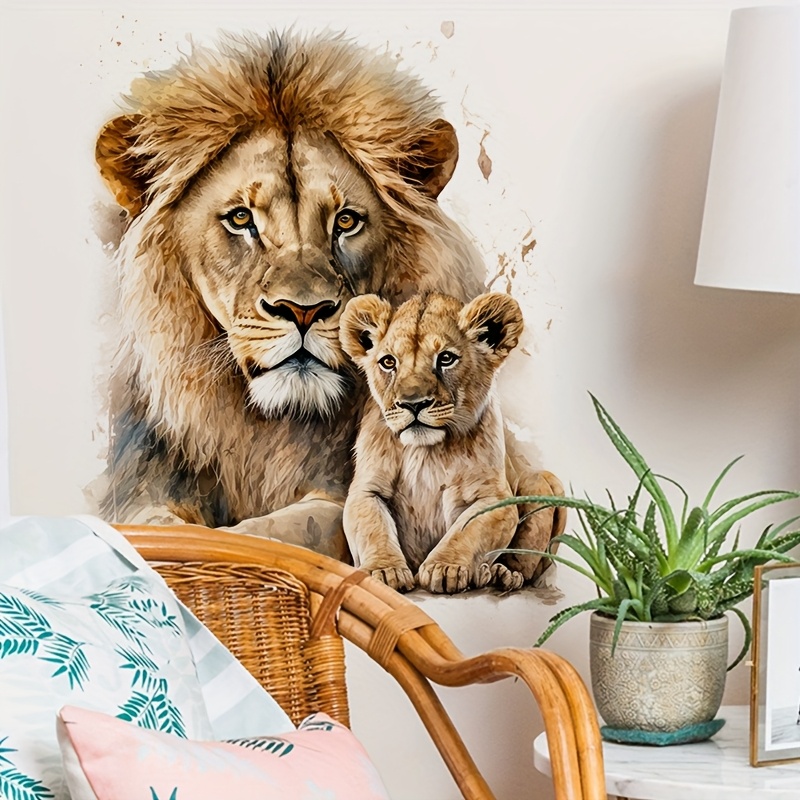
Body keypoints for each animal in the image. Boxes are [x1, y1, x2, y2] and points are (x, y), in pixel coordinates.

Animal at [341, 291, 532, 593]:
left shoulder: (496, 498)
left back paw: (501, 575)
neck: (426, 452)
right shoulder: (366, 491)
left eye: (446, 358)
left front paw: (445, 568)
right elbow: (374, 528)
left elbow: (466, 529)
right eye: (388, 362)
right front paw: (384, 571)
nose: (413, 403)